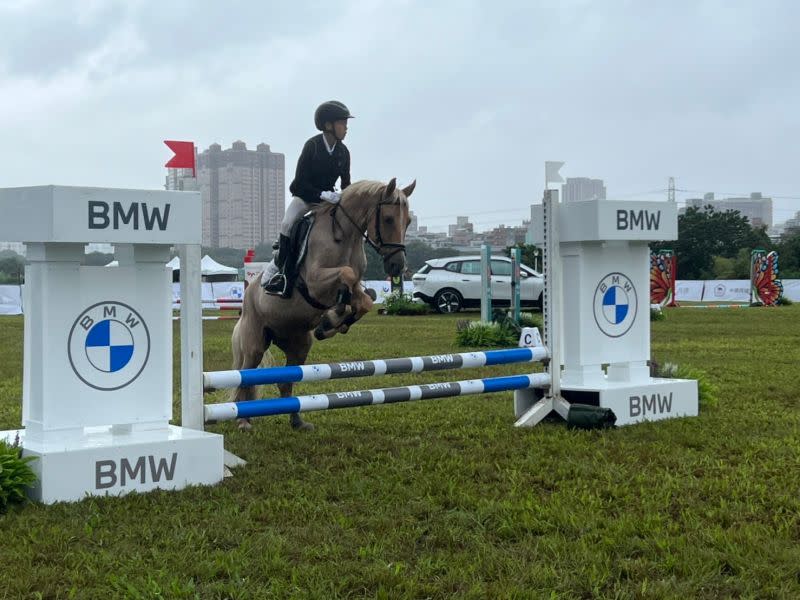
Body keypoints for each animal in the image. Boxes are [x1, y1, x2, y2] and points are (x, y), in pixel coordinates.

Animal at [228, 178, 416, 432]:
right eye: (387, 219)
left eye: (408, 222)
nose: (397, 266)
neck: (344, 236)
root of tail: (249, 293)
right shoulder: (315, 283)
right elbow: (346, 276)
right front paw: (332, 319)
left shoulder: (355, 288)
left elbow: (365, 300)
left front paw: (333, 323)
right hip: (255, 342)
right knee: (245, 376)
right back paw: (243, 421)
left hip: (298, 344)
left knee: (285, 381)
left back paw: (297, 422)